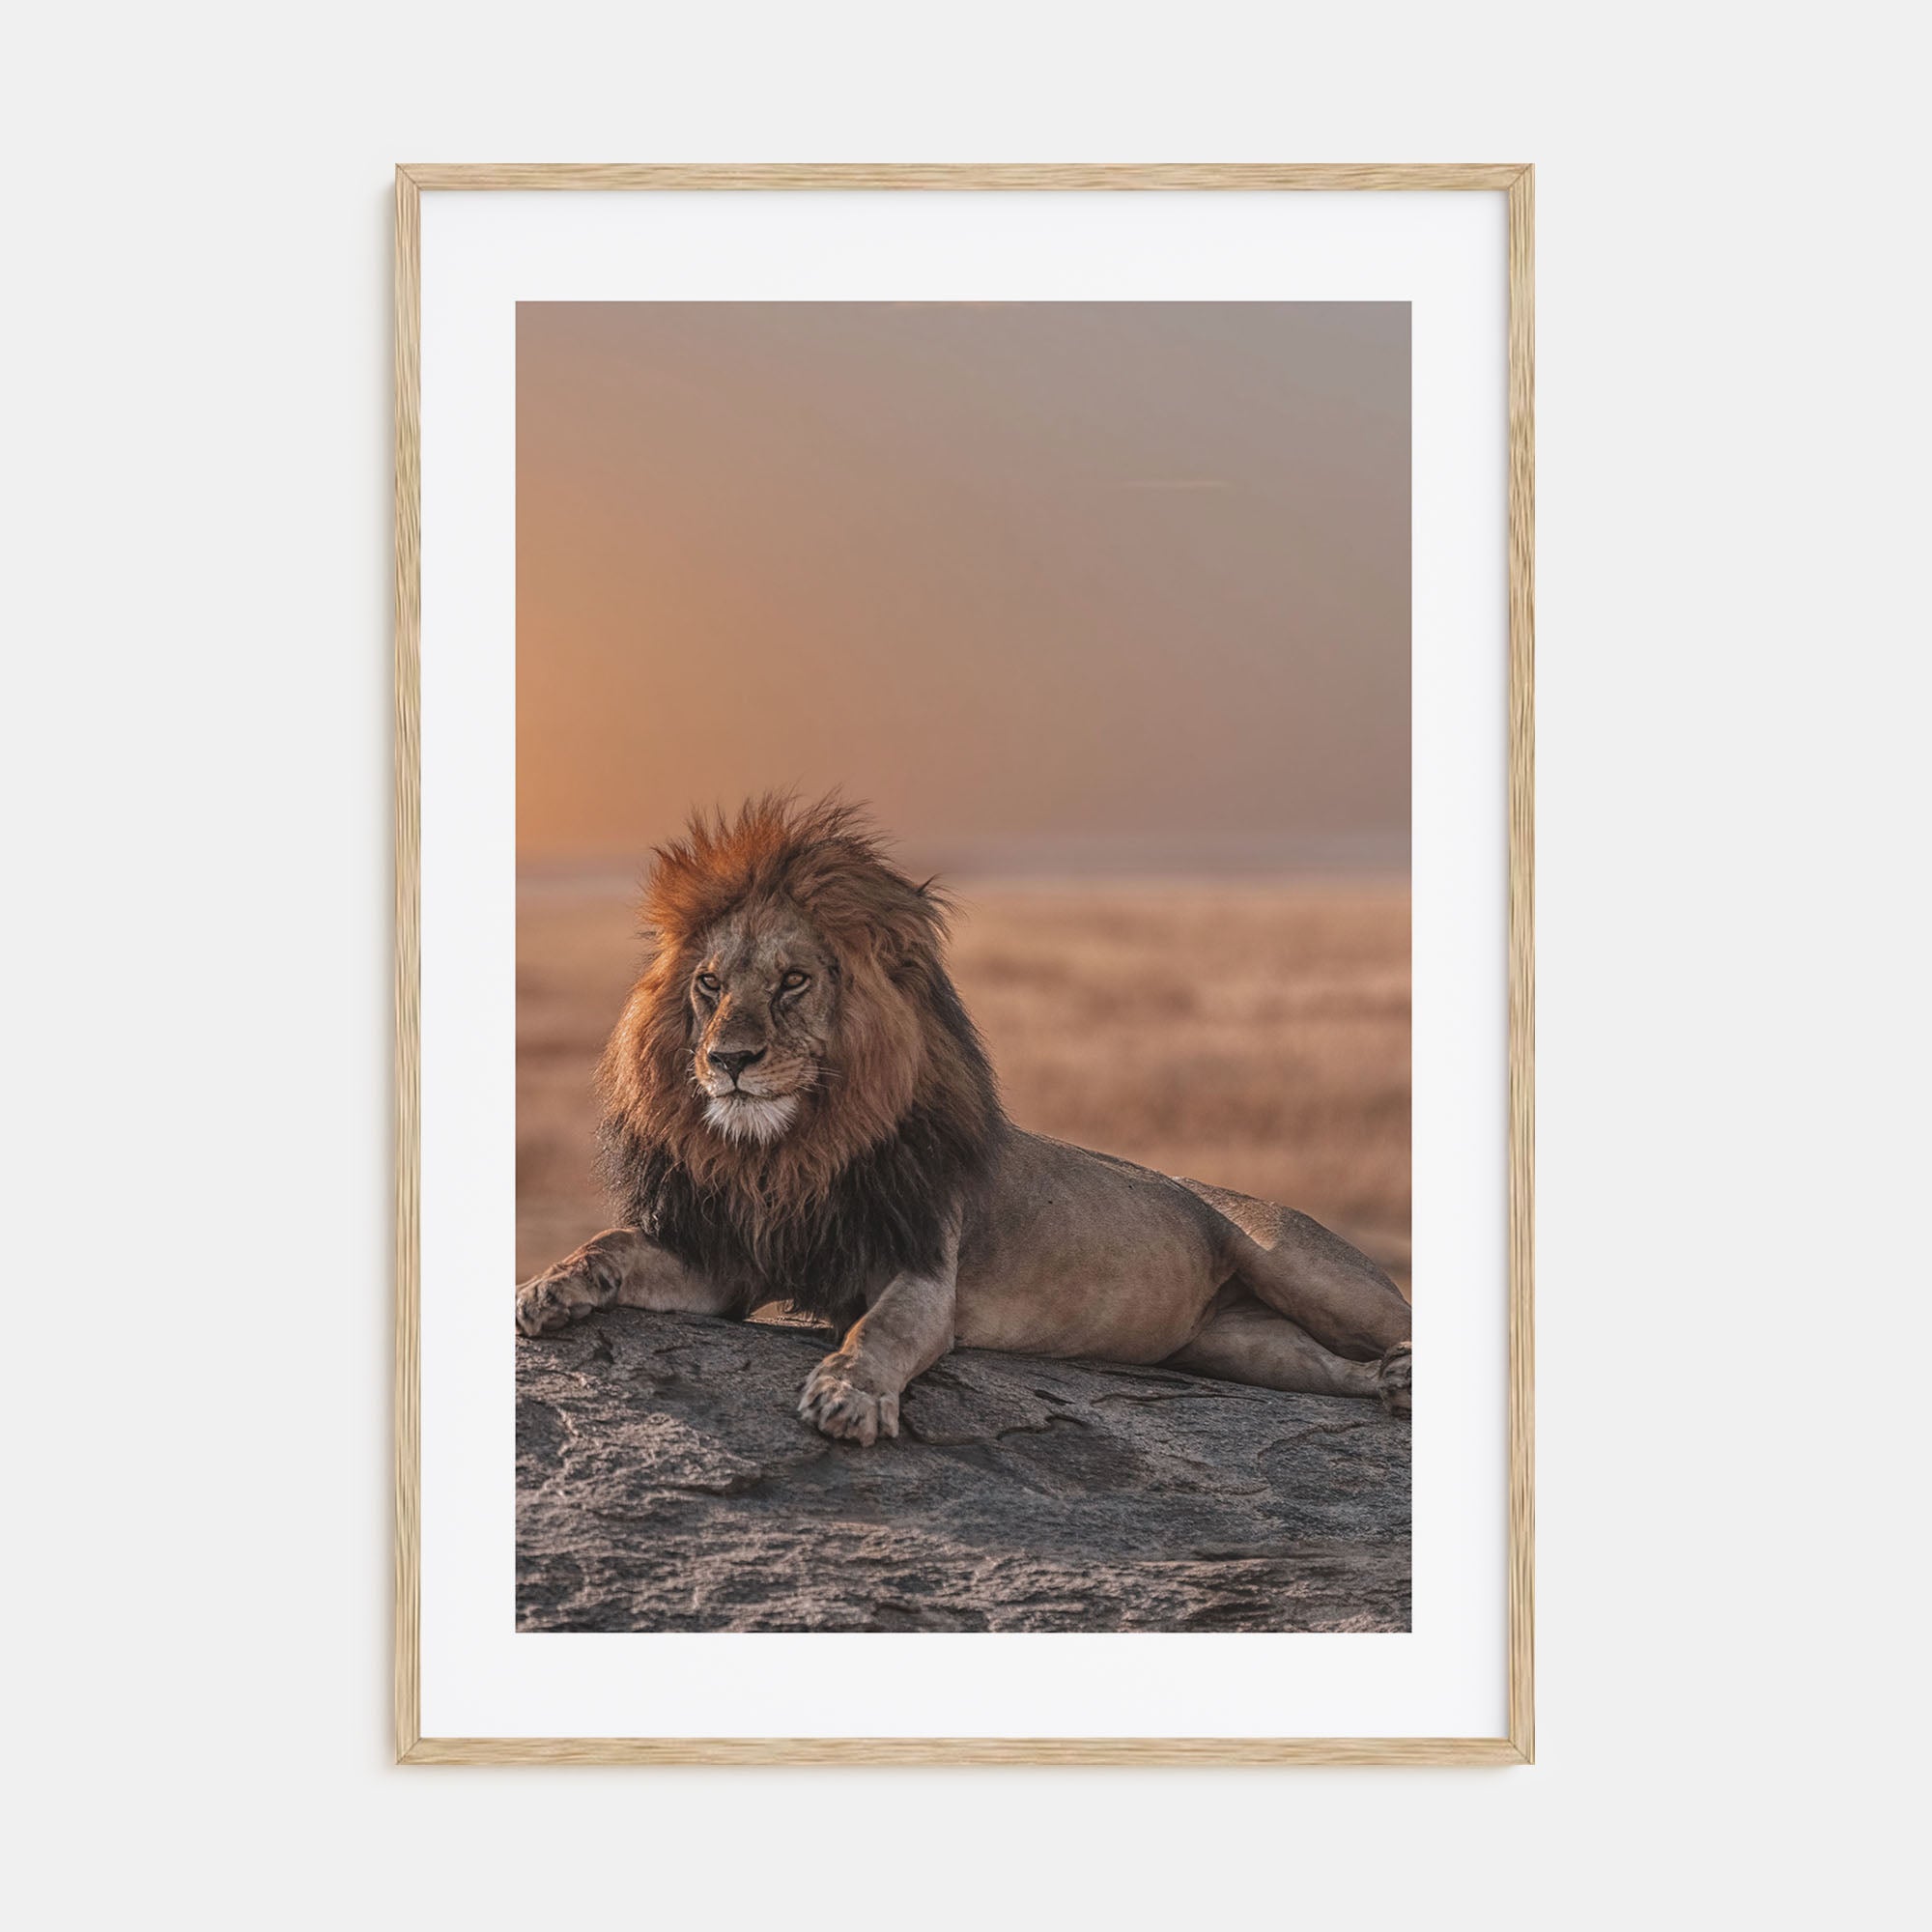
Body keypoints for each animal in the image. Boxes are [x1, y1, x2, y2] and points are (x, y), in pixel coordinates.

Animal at [515, 795, 1412, 1442]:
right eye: (708, 984)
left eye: (794, 980)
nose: (729, 1060)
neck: (789, 1152)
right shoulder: (729, 1260)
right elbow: (614, 1246)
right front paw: (550, 1286)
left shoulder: (920, 1271)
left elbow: (877, 1332)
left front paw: (849, 1396)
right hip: (1235, 1343)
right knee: (1327, 1370)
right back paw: (1390, 1384)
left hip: (1302, 1267)